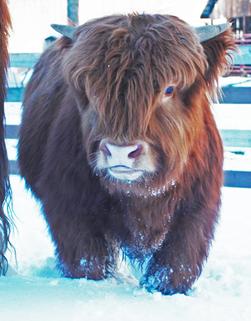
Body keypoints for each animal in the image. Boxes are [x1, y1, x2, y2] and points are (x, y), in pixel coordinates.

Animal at [18, 13, 235, 294]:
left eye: (169, 89)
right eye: (92, 90)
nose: (121, 151)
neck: (141, 194)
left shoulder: (196, 208)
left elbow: (176, 262)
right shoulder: (68, 203)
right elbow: (87, 259)